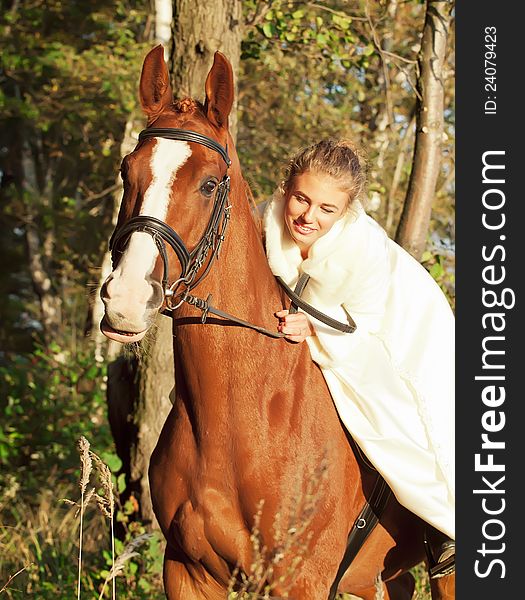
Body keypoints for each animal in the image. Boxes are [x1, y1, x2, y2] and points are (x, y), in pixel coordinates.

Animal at [100, 45, 452, 600]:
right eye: (125, 170)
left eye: (208, 183)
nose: (126, 298)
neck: (242, 422)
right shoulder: (188, 572)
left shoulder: (300, 581)